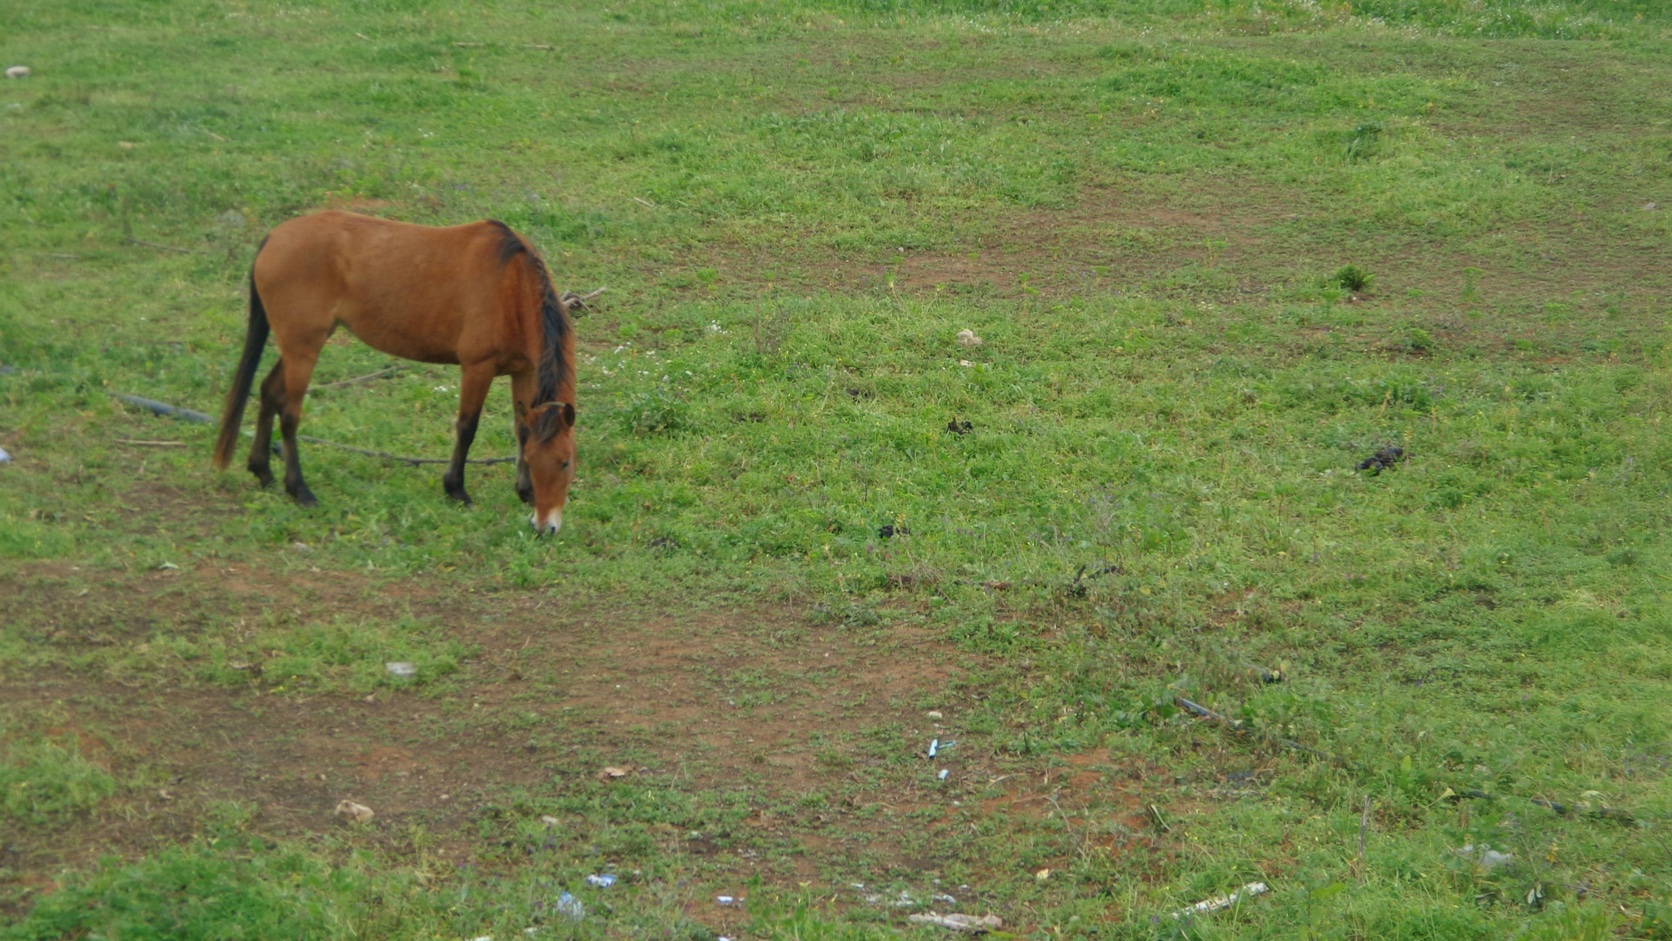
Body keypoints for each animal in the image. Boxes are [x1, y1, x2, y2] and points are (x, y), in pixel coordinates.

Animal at [211, 210, 577, 534]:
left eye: (565, 462)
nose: (544, 526)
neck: (510, 285)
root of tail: (274, 237)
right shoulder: (478, 368)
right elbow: (466, 428)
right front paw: (456, 489)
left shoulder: (523, 371)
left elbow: (521, 429)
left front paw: (523, 490)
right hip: (303, 348)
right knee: (289, 414)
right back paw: (299, 490)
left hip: (298, 345)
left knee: (268, 392)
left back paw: (263, 471)